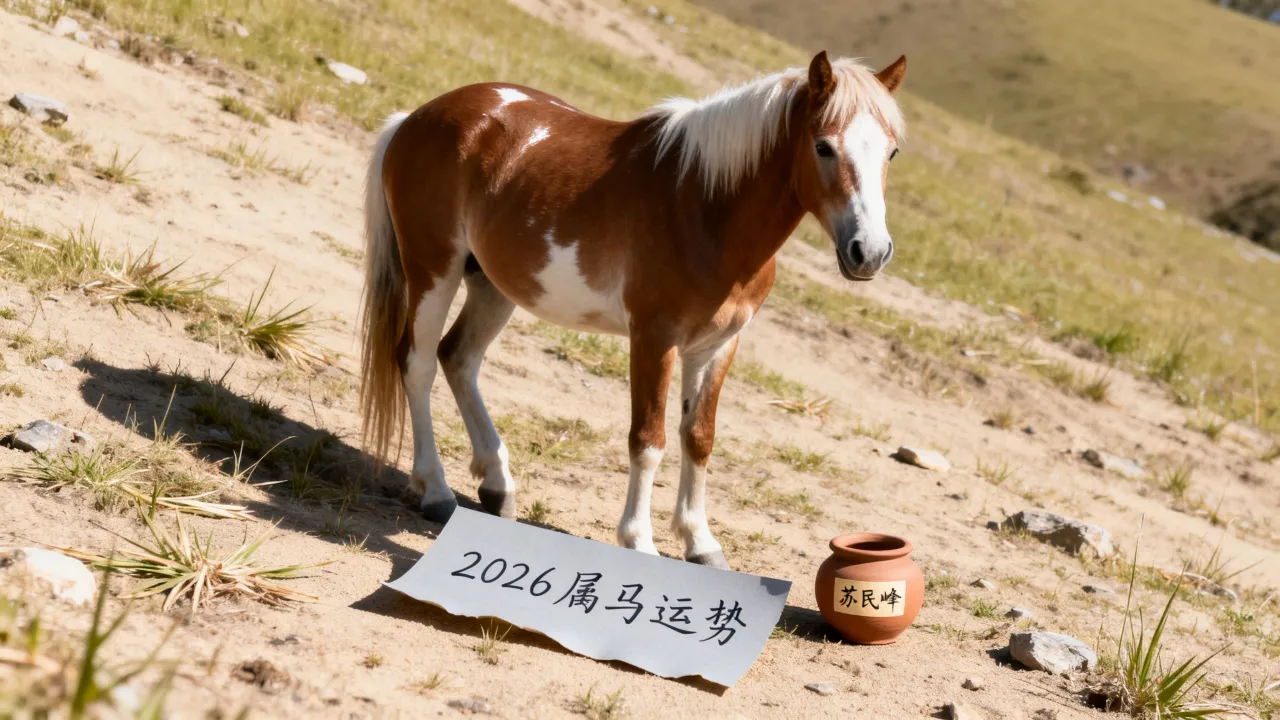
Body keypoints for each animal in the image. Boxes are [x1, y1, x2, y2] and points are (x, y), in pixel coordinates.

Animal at [359, 51, 907, 570]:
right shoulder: (654, 338)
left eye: (892, 152)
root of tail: (416, 117)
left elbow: (698, 438)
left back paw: (497, 485)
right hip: (435, 270)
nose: (870, 252)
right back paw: (436, 491)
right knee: (418, 363)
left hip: (495, 286)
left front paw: (700, 542)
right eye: (823, 146)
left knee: (459, 359)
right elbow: (649, 440)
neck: (706, 207)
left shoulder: (717, 346)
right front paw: (639, 542)